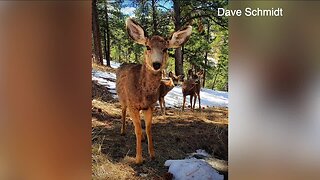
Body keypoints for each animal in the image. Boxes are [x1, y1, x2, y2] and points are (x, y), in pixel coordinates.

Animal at [115, 18, 192, 165]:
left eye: (165, 48)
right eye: (148, 47)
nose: (156, 64)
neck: (144, 94)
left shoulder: (150, 105)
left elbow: (149, 128)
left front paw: (152, 155)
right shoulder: (133, 105)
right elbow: (138, 130)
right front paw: (138, 159)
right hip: (122, 98)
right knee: (123, 111)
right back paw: (122, 131)